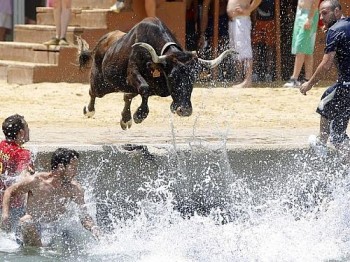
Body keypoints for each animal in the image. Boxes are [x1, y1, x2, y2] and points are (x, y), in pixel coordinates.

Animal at [77, 16, 235, 129]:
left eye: (193, 78)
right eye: (172, 76)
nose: (184, 110)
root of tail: (104, 40)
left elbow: (135, 94)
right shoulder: (132, 73)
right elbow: (144, 88)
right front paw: (140, 115)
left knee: (126, 96)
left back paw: (125, 119)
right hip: (102, 84)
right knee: (93, 92)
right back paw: (89, 110)